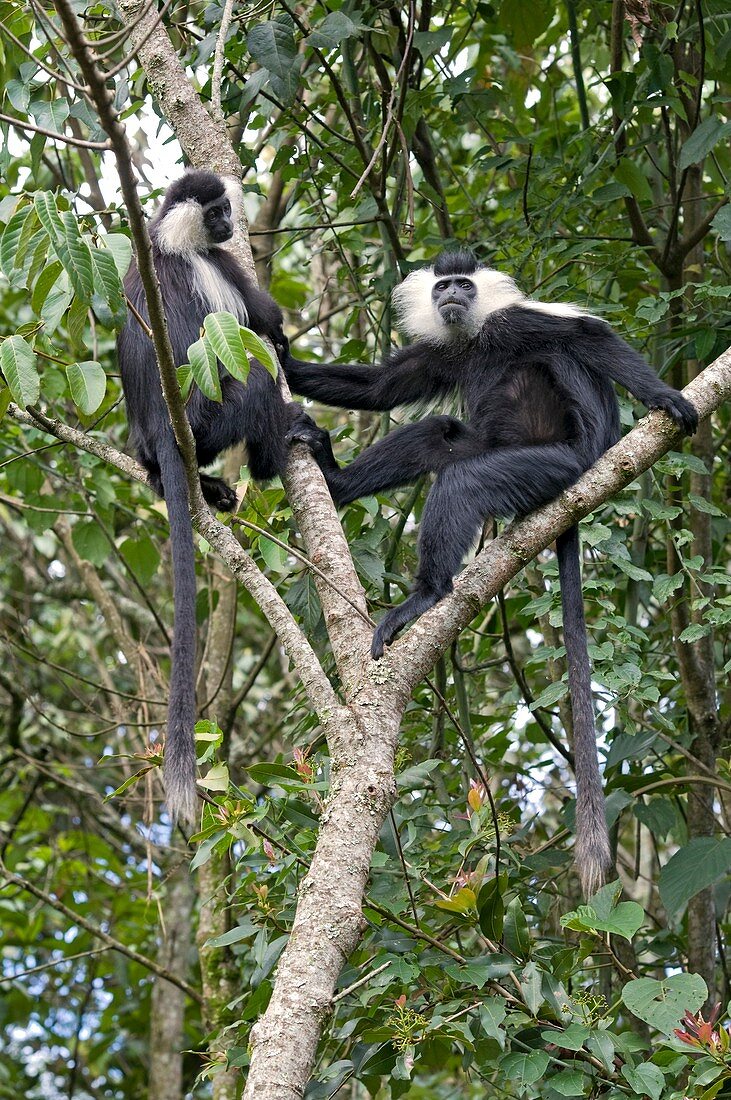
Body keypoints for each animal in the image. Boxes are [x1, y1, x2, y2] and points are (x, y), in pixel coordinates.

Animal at [115, 169, 307, 827]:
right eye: (217, 211)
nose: (228, 223)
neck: (168, 242)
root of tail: (160, 432)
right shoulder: (209, 269)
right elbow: (260, 323)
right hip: (210, 414)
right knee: (254, 370)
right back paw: (278, 446)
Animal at [283, 249, 694, 893]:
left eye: (464, 284)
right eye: (442, 287)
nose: (451, 294)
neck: (473, 338)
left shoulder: (510, 324)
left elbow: (586, 336)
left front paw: (665, 396)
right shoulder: (443, 351)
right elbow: (379, 388)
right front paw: (277, 352)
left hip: (549, 465)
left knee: (466, 478)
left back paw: (425, 597)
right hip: (489, 445)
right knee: (438, 437)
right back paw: (334, 479)